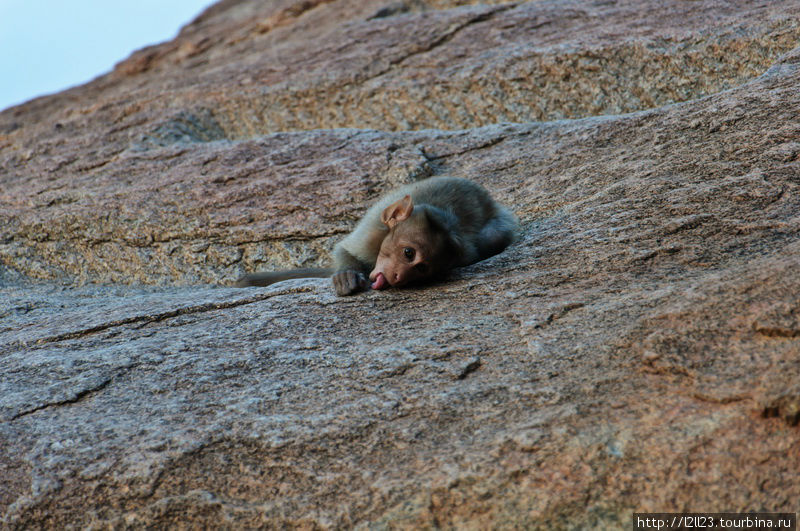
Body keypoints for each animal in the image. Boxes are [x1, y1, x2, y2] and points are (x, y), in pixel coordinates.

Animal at [233, 178, 520, 296]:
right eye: (408, 253)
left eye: (422, 269)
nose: (399, 277)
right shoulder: (370, 233)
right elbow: (344, 250)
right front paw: (346, 275)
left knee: (494, 235)